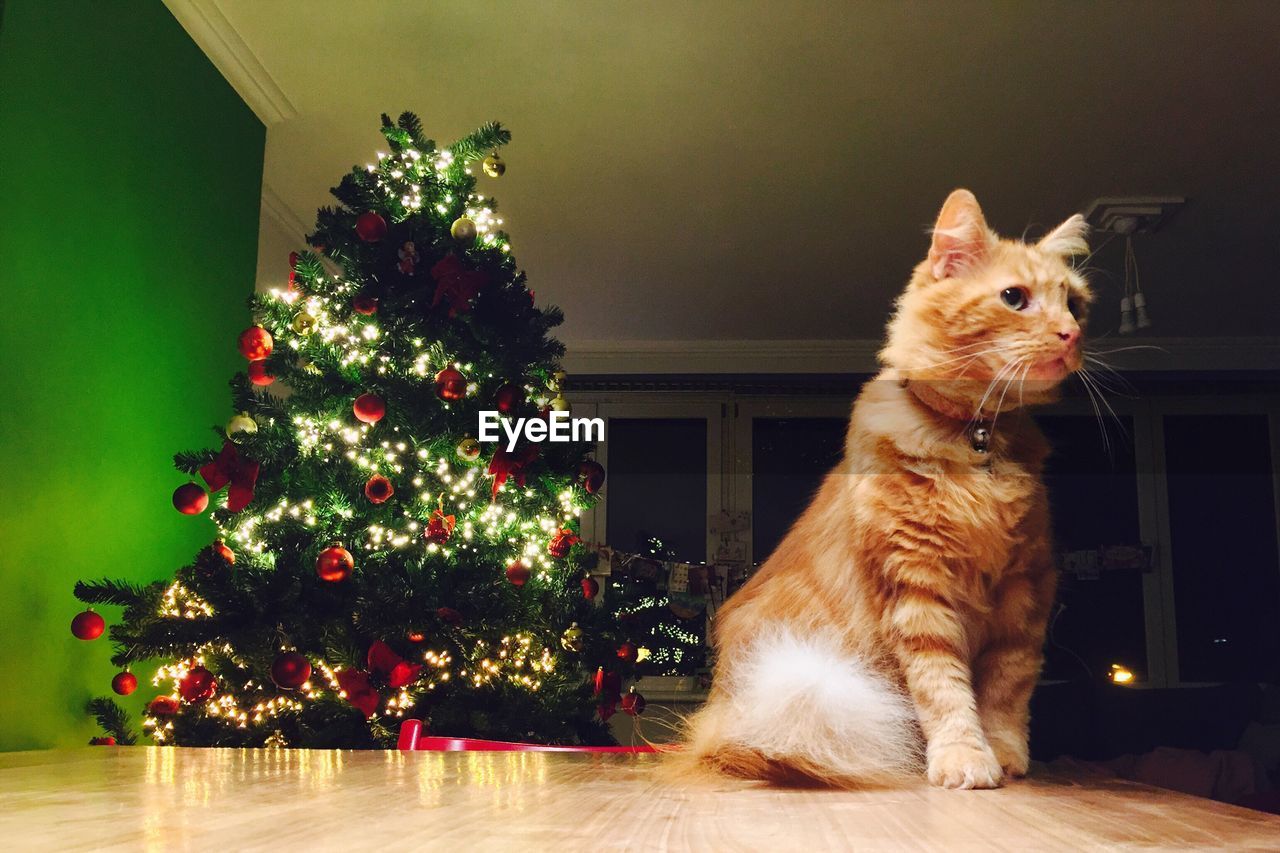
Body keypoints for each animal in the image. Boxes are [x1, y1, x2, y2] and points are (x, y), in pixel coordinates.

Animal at [680, 189, 1090, 788]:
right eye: (1014, 298)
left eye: (1075, 305)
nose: (1071, 335)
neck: (976, 435)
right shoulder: (916, 588)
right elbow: (945, 691)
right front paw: (965, 757)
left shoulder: (1025, 591)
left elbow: (1006, 692)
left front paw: (1006, 756)